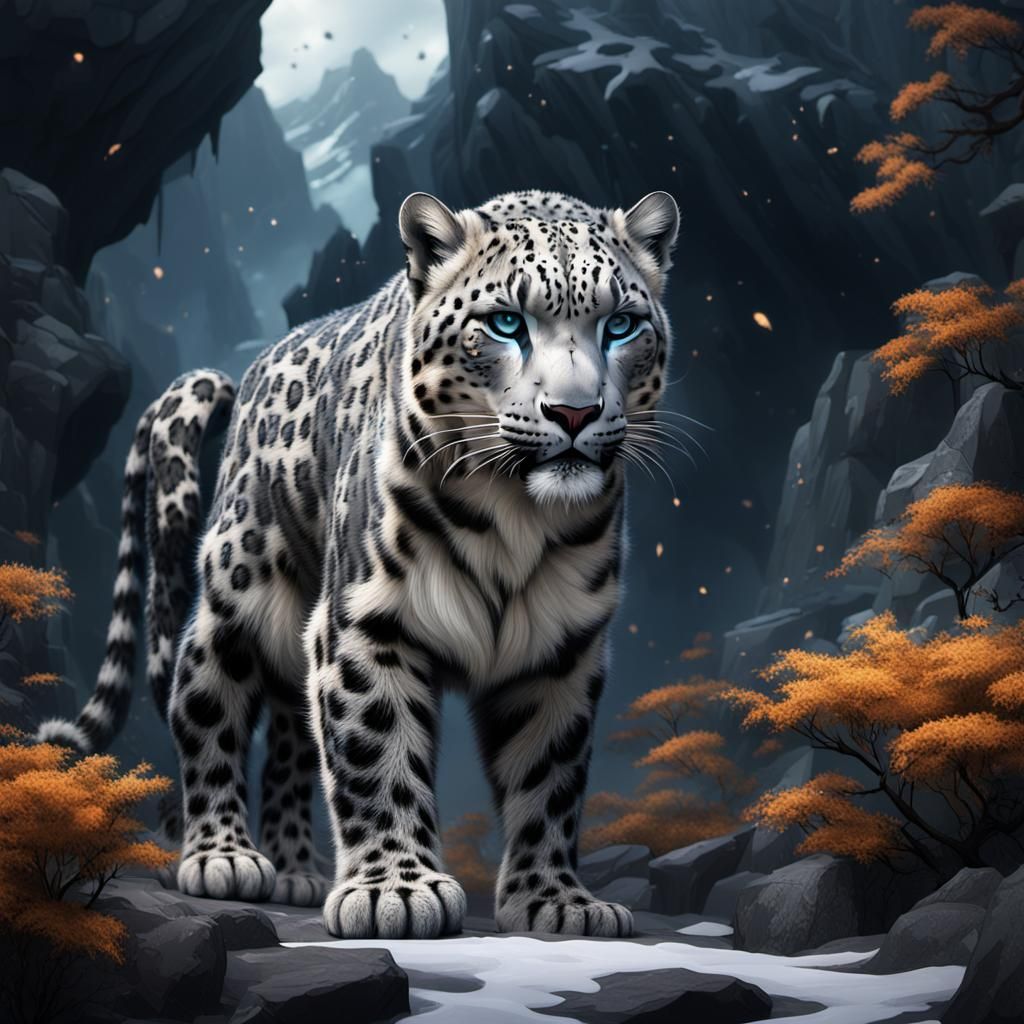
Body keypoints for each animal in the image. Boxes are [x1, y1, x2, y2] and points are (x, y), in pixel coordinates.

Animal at [39, 189, 680, 939]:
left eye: (621, 325)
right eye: (505, 323)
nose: (575, 412)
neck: (517, 516)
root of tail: (251, 373)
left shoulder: (561, 652)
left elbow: (550, 780)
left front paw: (556, 900)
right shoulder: (363, 625)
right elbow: (377, 753)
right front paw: (395, 892)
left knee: (291, 738)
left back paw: (295, 868)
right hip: (240, 592)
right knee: (205, 707)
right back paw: (223, 856)